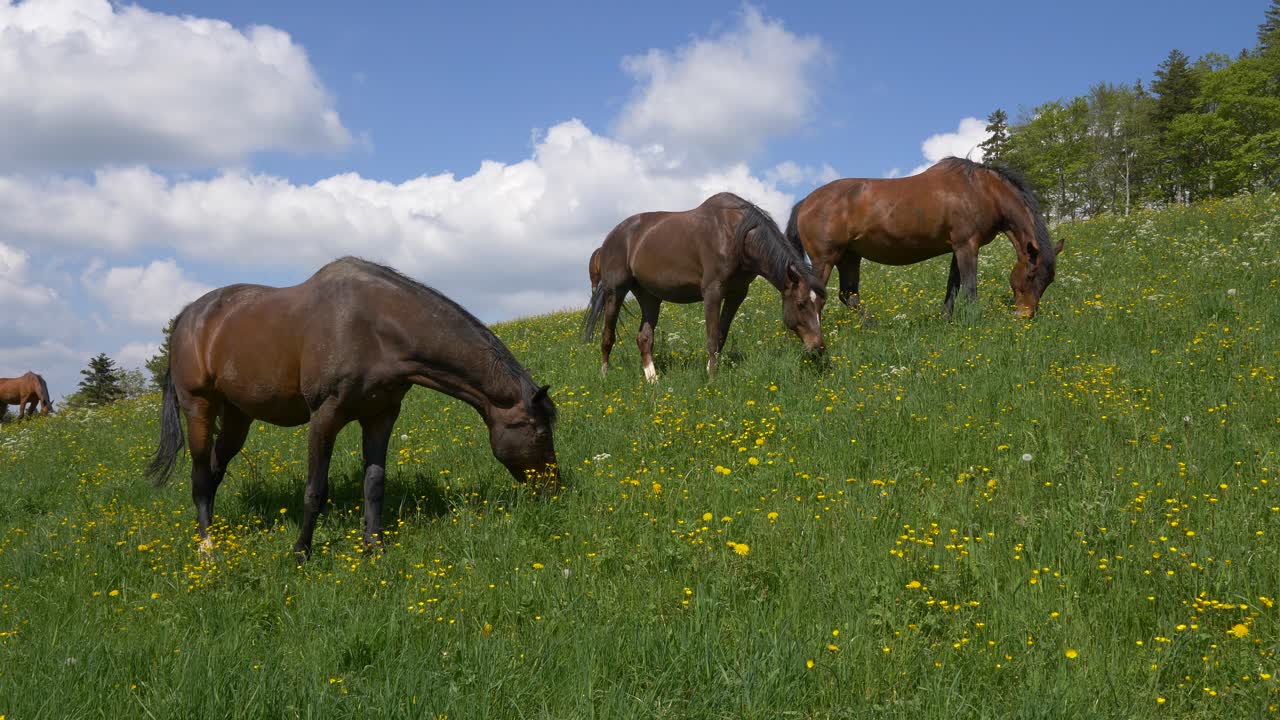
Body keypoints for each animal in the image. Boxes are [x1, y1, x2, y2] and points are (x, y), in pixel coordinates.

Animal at [146, 257, 561, 559]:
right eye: (540, 431)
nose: (553, 491)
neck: (374, 327)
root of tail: (188, 316)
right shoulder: (325, 415)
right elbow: (315, 490)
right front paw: (301, 553)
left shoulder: (381, 416)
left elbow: (374, 483)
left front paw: (374, 548)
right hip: (199, 407)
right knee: (200, 475)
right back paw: (207, 547)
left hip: (237, 415)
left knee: (215, 470)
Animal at [584, 192, 825, 381]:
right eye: (801, 304)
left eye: (820, 305)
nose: (819, 347)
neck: (735, 234)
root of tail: (610, 239)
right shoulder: (713, 291)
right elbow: (711, 337)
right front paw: (711, 379)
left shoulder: (737, 293)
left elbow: (720, 336)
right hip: (615, 292)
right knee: (607, 337)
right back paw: (604, 376)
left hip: (650, 297)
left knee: (644, 338)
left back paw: (653, 381)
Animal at [785, 157, 1063, 319]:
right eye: (1031, 275)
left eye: (1048, 281)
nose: (1025, 316)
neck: (982, 191)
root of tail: (805, 202)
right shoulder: (967, 246)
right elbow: (969, 288)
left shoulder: (957, 249)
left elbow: (953, 287)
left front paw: (946, 319)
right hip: (825, 259)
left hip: (849, 257)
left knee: (848, 296)